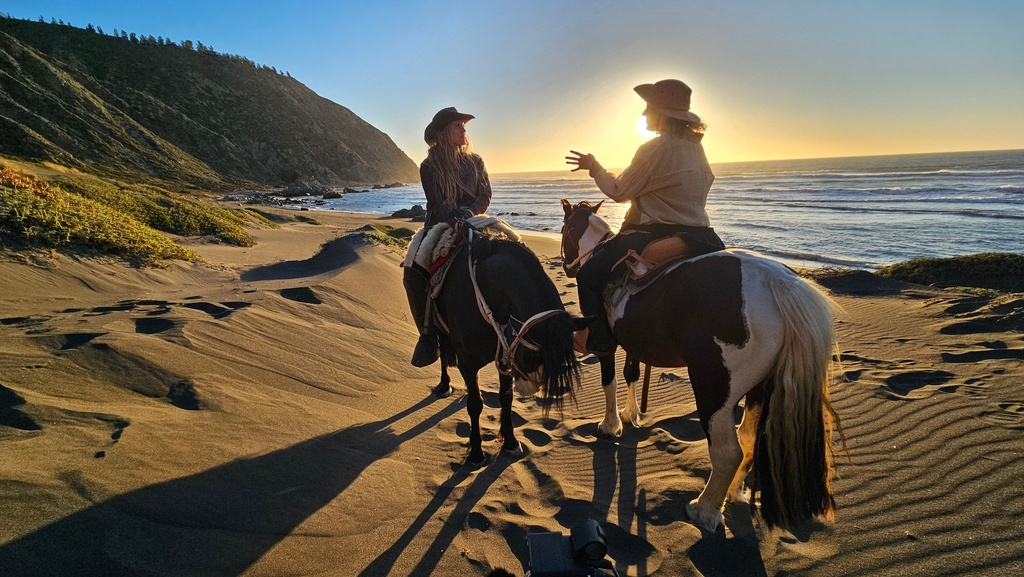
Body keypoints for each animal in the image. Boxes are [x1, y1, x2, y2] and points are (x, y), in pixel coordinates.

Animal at [427, 231, 585, 465]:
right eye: (532, 357)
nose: (529, 390)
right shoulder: (468, 363)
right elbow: (475, 404)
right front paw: (476, 452)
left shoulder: (505, 354)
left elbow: (506, 397)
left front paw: (510, 441)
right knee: (443, 354)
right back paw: (444, 384)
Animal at [558, 199, 843, 533]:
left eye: (564, 230)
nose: (568, 266)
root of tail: (780, 283)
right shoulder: (634, 343)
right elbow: (631, 374)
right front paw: (631, 415)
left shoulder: (609, 343)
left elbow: (609, 380)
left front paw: (610, 425)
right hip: (761, 388)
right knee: (748, 439)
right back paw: (732, 493)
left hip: (714, 391)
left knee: (727, 452)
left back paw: (704, 510)